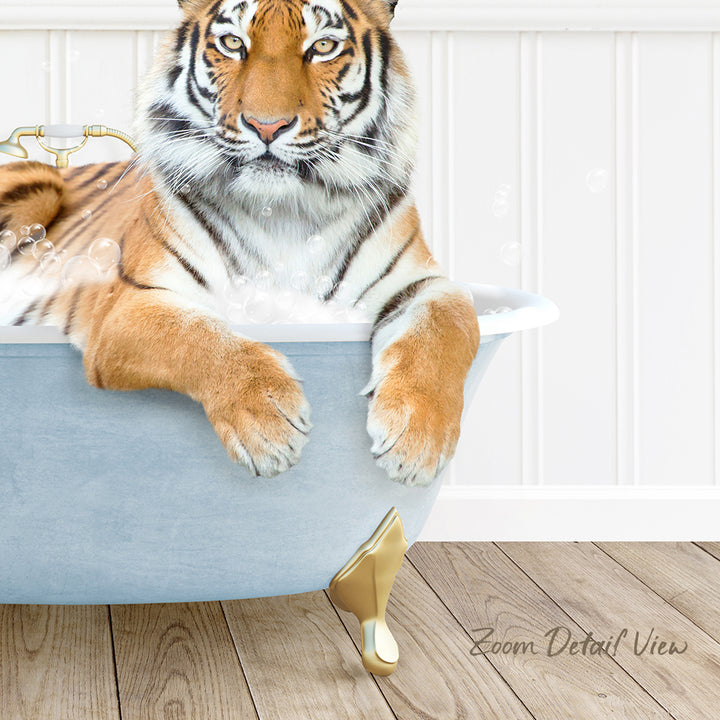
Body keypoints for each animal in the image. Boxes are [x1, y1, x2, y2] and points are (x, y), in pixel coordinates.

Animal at [0, 0, 480, 486]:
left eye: (323, 46)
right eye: (233, 43)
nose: (267, 126)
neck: (285, 213)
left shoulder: (423, 283)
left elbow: (447, 326)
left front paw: (417, 439)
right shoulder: (130, 305)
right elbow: (198, 335)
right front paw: (268, 426)